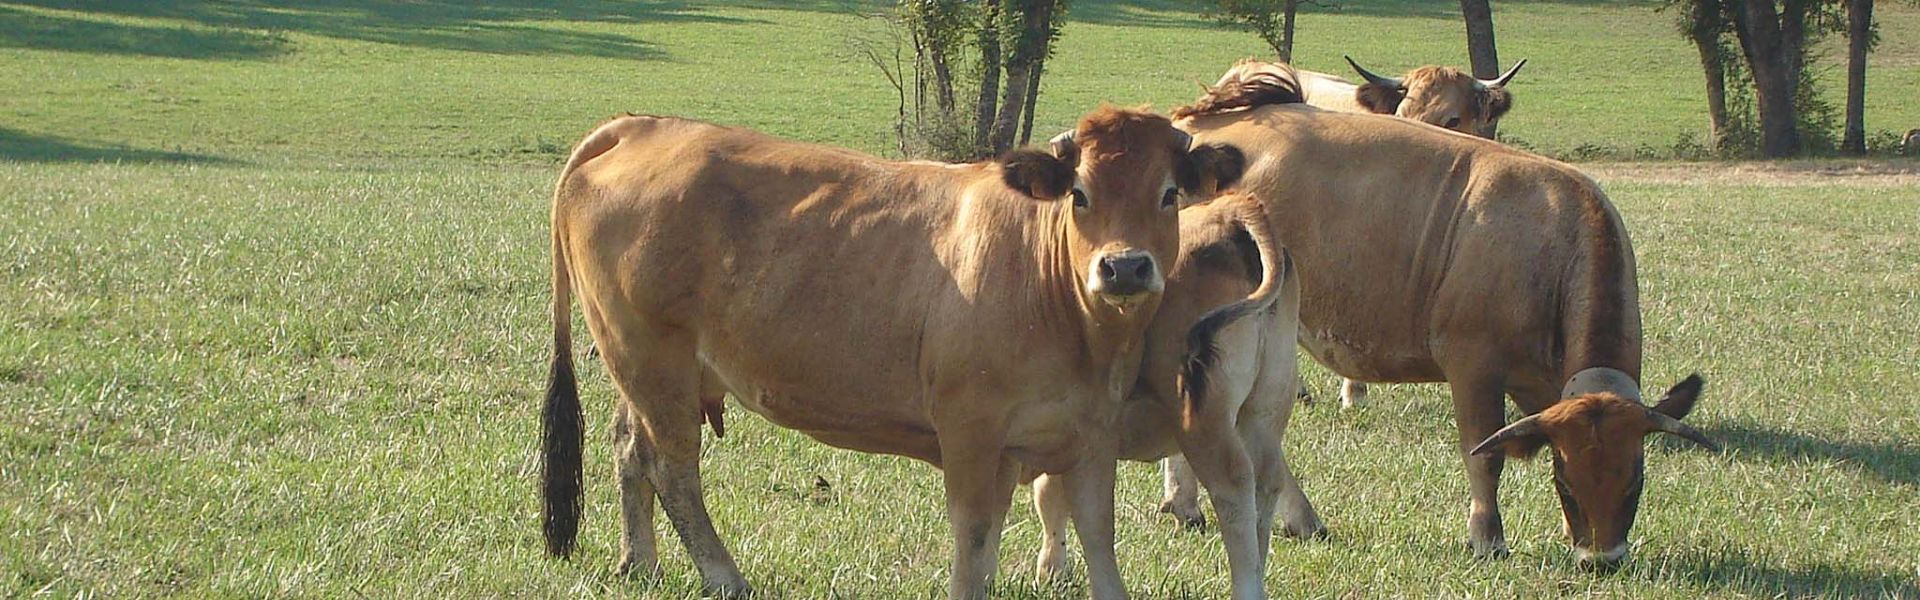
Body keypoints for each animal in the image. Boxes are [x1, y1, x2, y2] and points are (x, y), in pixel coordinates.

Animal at [545, 109, 1259, 600]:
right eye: (1078, 193)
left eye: (1169, 194)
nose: (1124, 267)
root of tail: (644, 126)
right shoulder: (970, 434)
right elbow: (974, 544)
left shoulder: (1088, 437)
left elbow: (1096, 539)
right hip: (653, 361)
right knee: (672, 469)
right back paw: (724, 576)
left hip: (643, 367)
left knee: (629, 448)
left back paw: (639, 562)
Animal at [1029, 191, 1313, 600]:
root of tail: (1229, 211)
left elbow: (1049, 494)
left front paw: (1050, 571)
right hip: (1268, 403)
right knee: (1266, 482)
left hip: (1205, 417)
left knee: (1234, 487)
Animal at [1152, 63, 1728, 569]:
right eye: (1566, 479)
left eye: (1636, 478)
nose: (1602, 560)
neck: (1552, 245)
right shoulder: (1473, 368)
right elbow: (1484, 455)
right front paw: (1488, 538)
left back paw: (1200, 506)